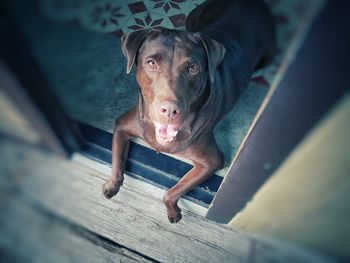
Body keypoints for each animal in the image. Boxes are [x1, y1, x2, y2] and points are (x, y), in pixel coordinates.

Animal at [102, 0, 274, 224]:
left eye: (193, 69)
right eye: (151, 63)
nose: (170, 110)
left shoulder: (212, 161)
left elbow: (172, 191)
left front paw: (173, 210)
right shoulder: (122, 125)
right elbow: (117, 161)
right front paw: (112, 185)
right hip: (193, 18)